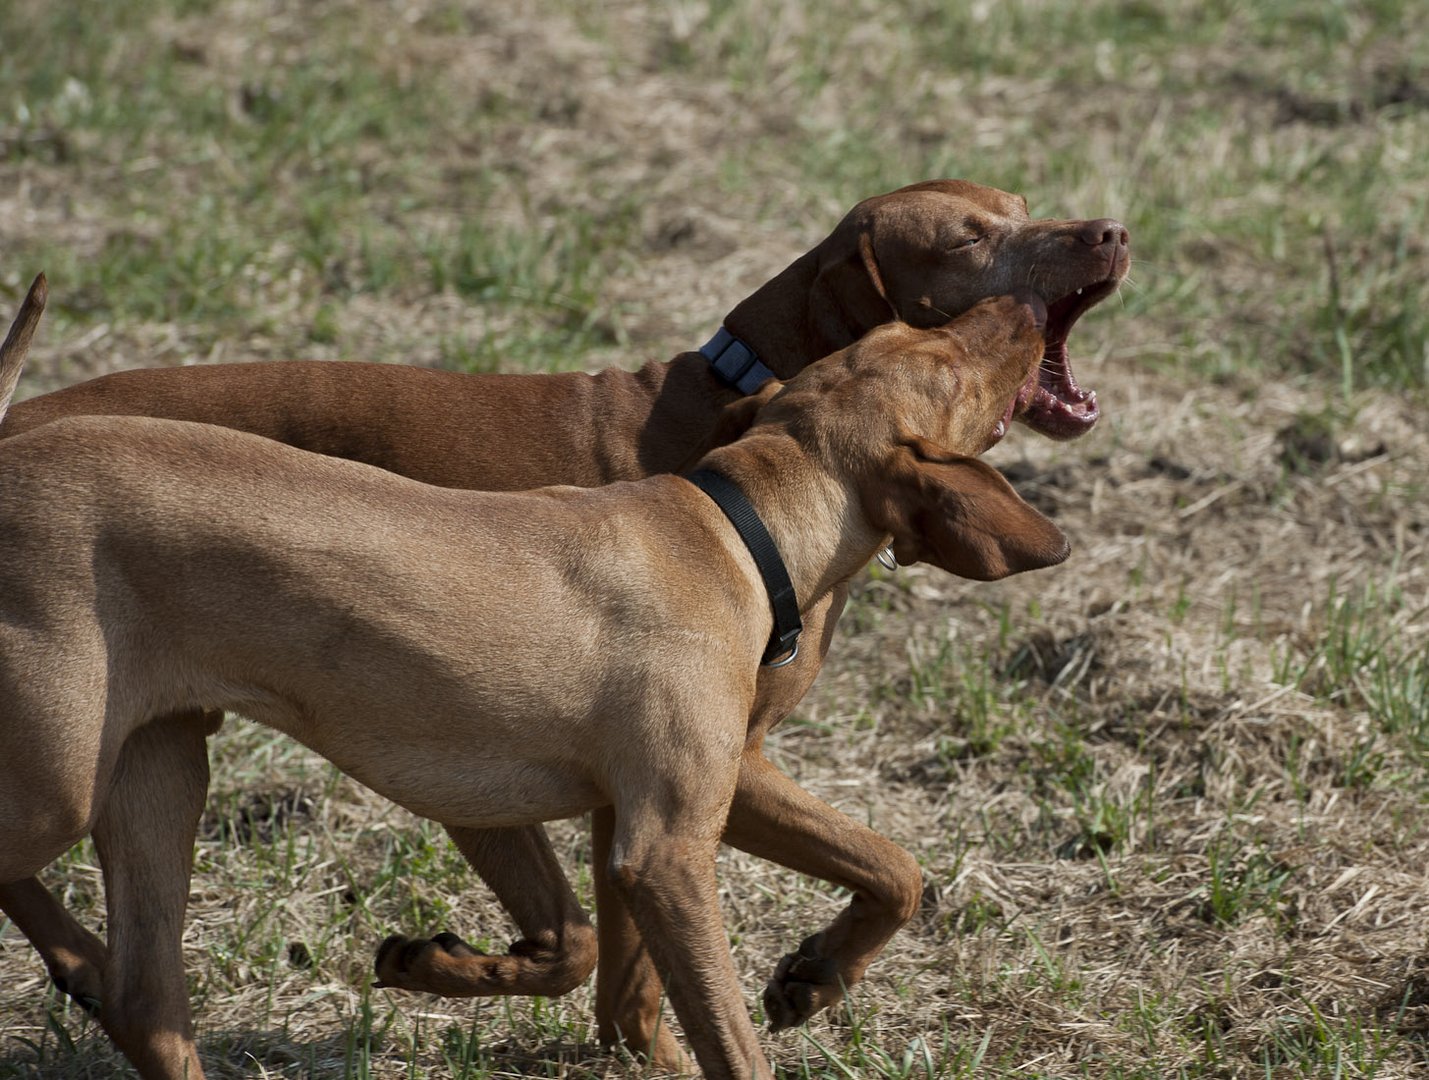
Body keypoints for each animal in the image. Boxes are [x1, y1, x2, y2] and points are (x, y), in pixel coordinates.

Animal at [0, 181, 1126, 1068]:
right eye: (965, 244)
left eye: (1020, 206)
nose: (1107, 233)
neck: (733, 513)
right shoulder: (669, 823)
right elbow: (704, 992)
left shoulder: (638, 804)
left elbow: (686, 940)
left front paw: (790, 983)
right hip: (57, 778)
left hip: (154, 769)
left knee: (148, 1002)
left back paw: (97, 974)